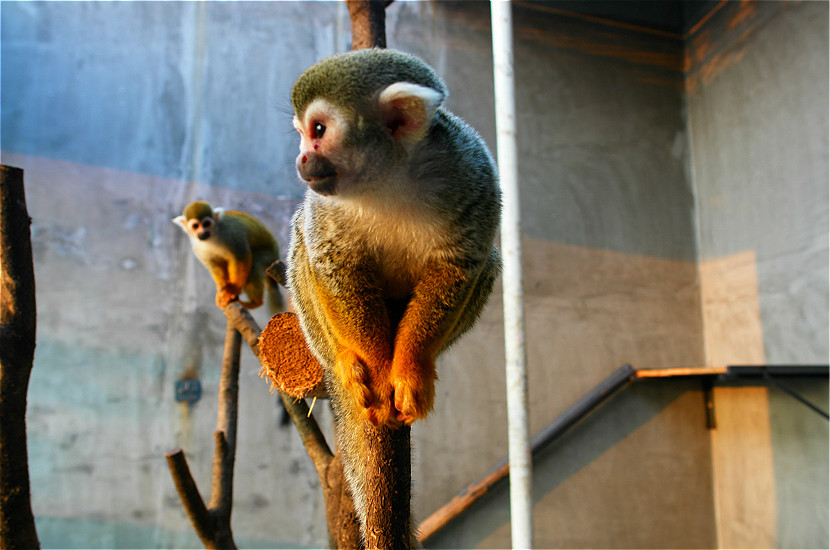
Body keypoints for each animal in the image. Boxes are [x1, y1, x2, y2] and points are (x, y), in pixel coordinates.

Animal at [286, 49, 504, 532]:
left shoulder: (474, 173)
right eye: (302, 135)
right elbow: (331, 260)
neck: (389, 178)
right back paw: (345, 361)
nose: (301, 160)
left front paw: (408, 371)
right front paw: (378, 368)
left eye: (318, 131)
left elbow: (459, 267)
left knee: (490, 261)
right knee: (301, 242)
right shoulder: (325, 203)